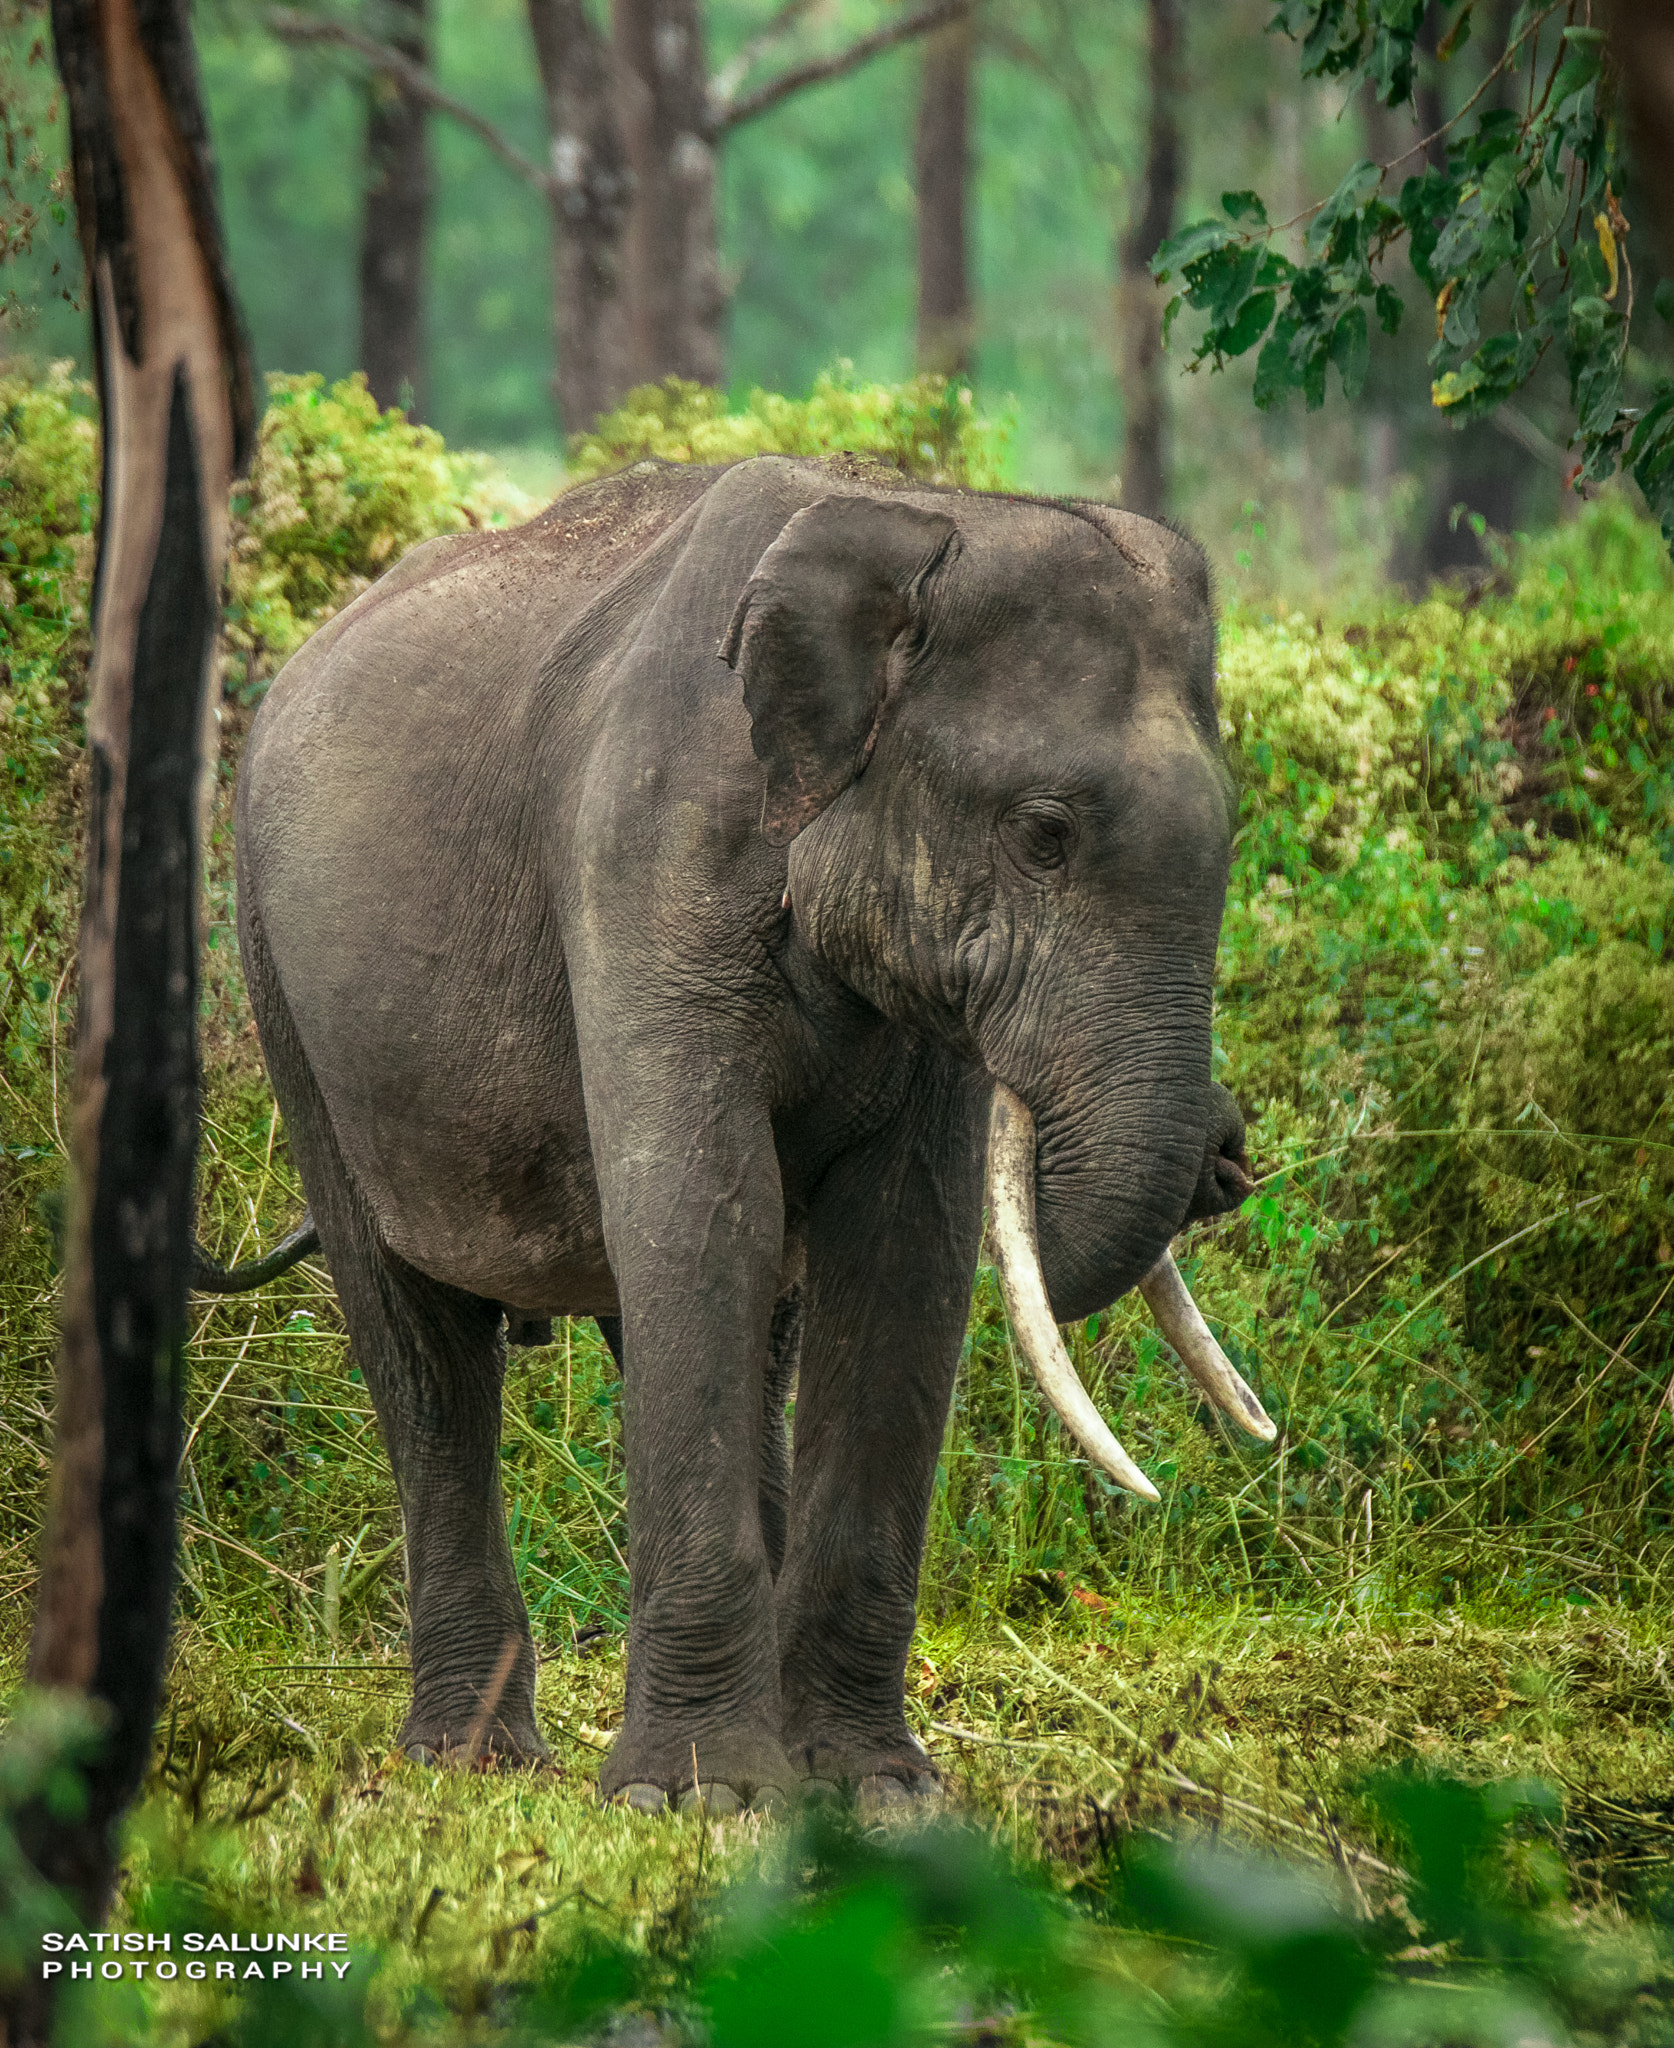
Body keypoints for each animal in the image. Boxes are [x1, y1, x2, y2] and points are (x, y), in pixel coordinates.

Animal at [217, 452, 1275, 1813]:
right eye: (1043, 834)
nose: (1225, 1160)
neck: (924, 513)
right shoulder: (645, 863)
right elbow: (702, 1212)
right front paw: (695, 1798)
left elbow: (902, 1251)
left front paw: (875, 1792)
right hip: (285, 997)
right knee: (424, 1354)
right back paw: (474, 1762)